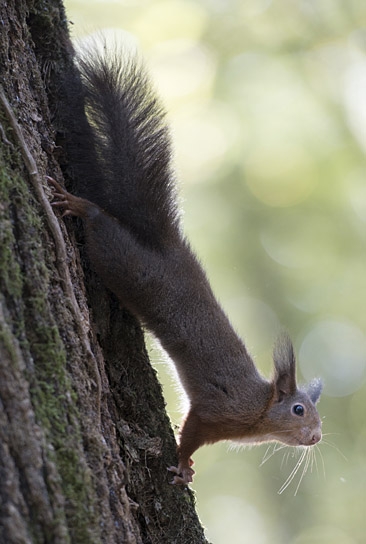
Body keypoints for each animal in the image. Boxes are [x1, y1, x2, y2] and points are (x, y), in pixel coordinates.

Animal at [48, 45, 320, 484]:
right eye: (298, 410)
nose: (315, 437)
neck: (258, 413)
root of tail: (168, 246)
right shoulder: (215, 410)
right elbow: (191, 431)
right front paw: (179, 463)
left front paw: (189, 468)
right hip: (125, 263)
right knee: (103, 229)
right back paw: (79, 206)